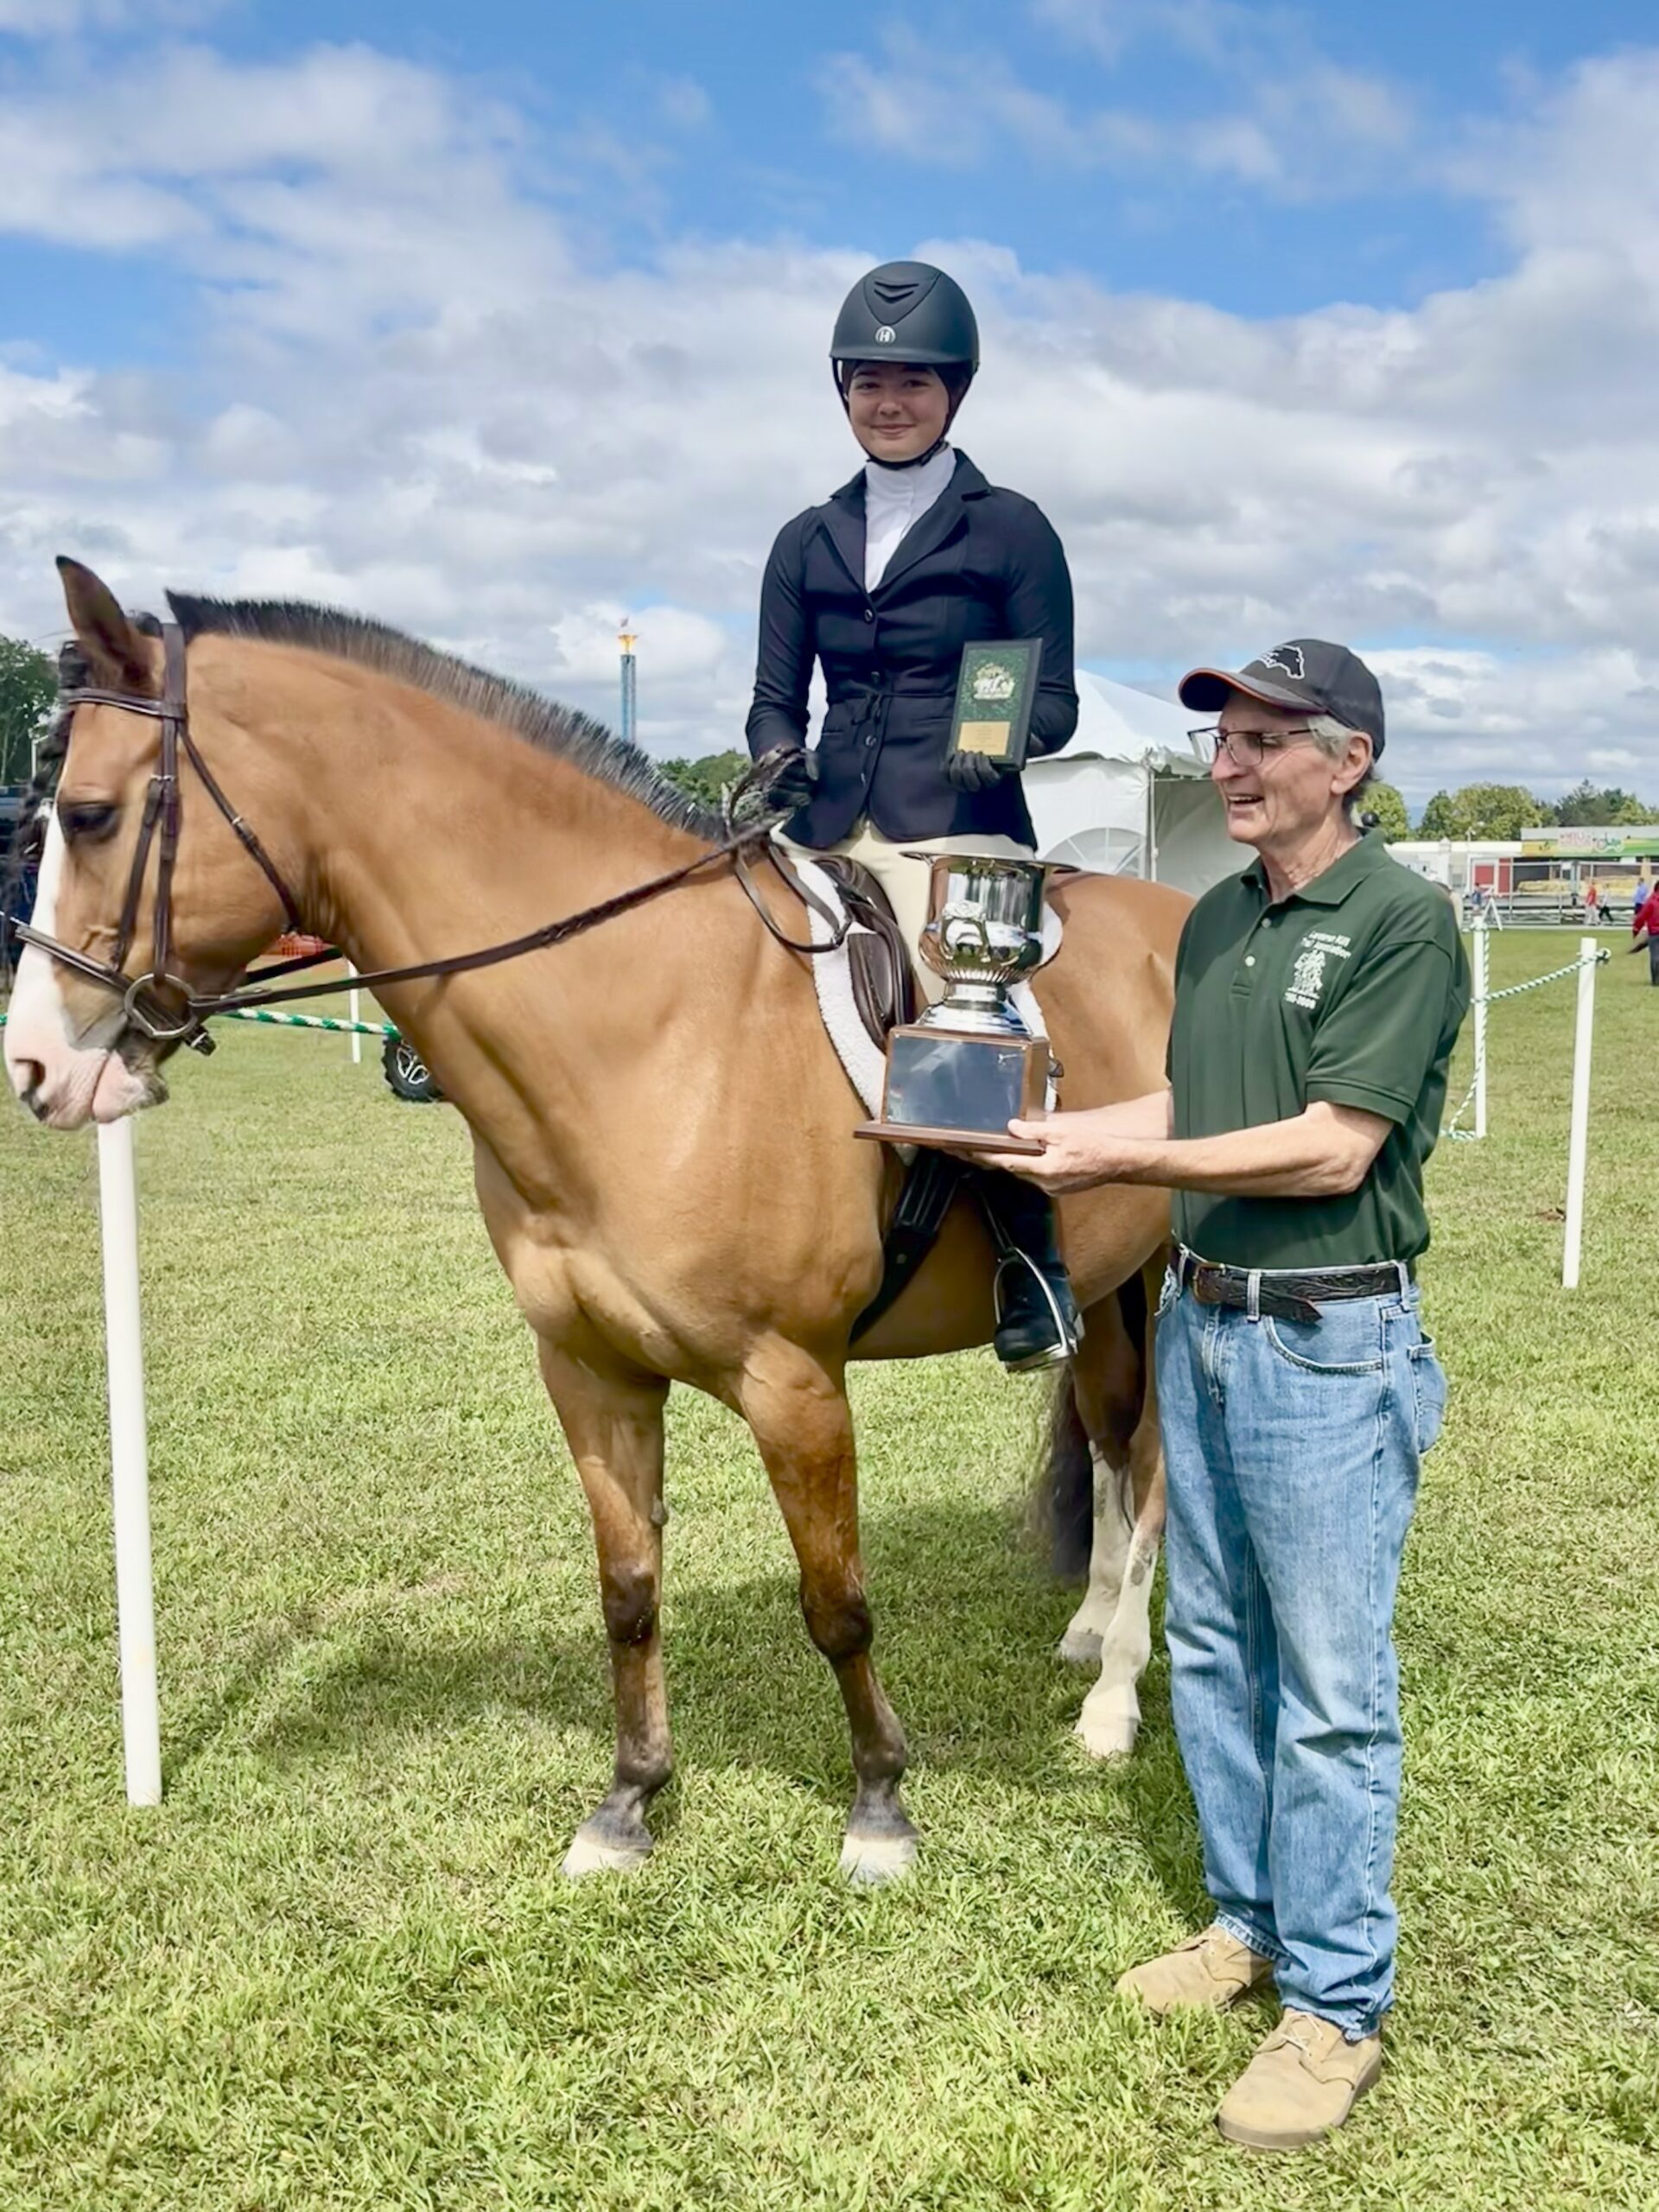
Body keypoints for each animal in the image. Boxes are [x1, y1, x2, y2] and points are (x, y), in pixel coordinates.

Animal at [5, 558, 1187, 1884]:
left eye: (90, 816)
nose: (37, 1068)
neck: (651, 1027)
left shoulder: (796, 1383)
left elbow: (836, 1601)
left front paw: (880, 1804)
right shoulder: (589, 1368)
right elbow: (627, 1589)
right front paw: (627, 1802)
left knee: (1153, 1472)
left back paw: (1112, 1706)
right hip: (1104, 1286)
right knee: (1111, 1444)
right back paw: (1089, 1633)